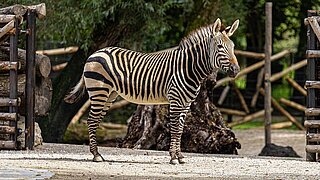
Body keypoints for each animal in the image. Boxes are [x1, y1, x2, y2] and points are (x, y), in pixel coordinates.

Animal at [65, 18, 240, 165]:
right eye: (220, 47)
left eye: (233, 47)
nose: (236, 70)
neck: (188, 68)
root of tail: (95, 53)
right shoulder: (175, 101)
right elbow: (175, 129)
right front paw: (173, 157)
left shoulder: (186, 104)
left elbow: (180, 130)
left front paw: (180, 156)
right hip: (98, 91)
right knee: (91, 121)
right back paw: (96, 155)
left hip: (109, 95)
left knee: (95, 121)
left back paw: (97, 154)